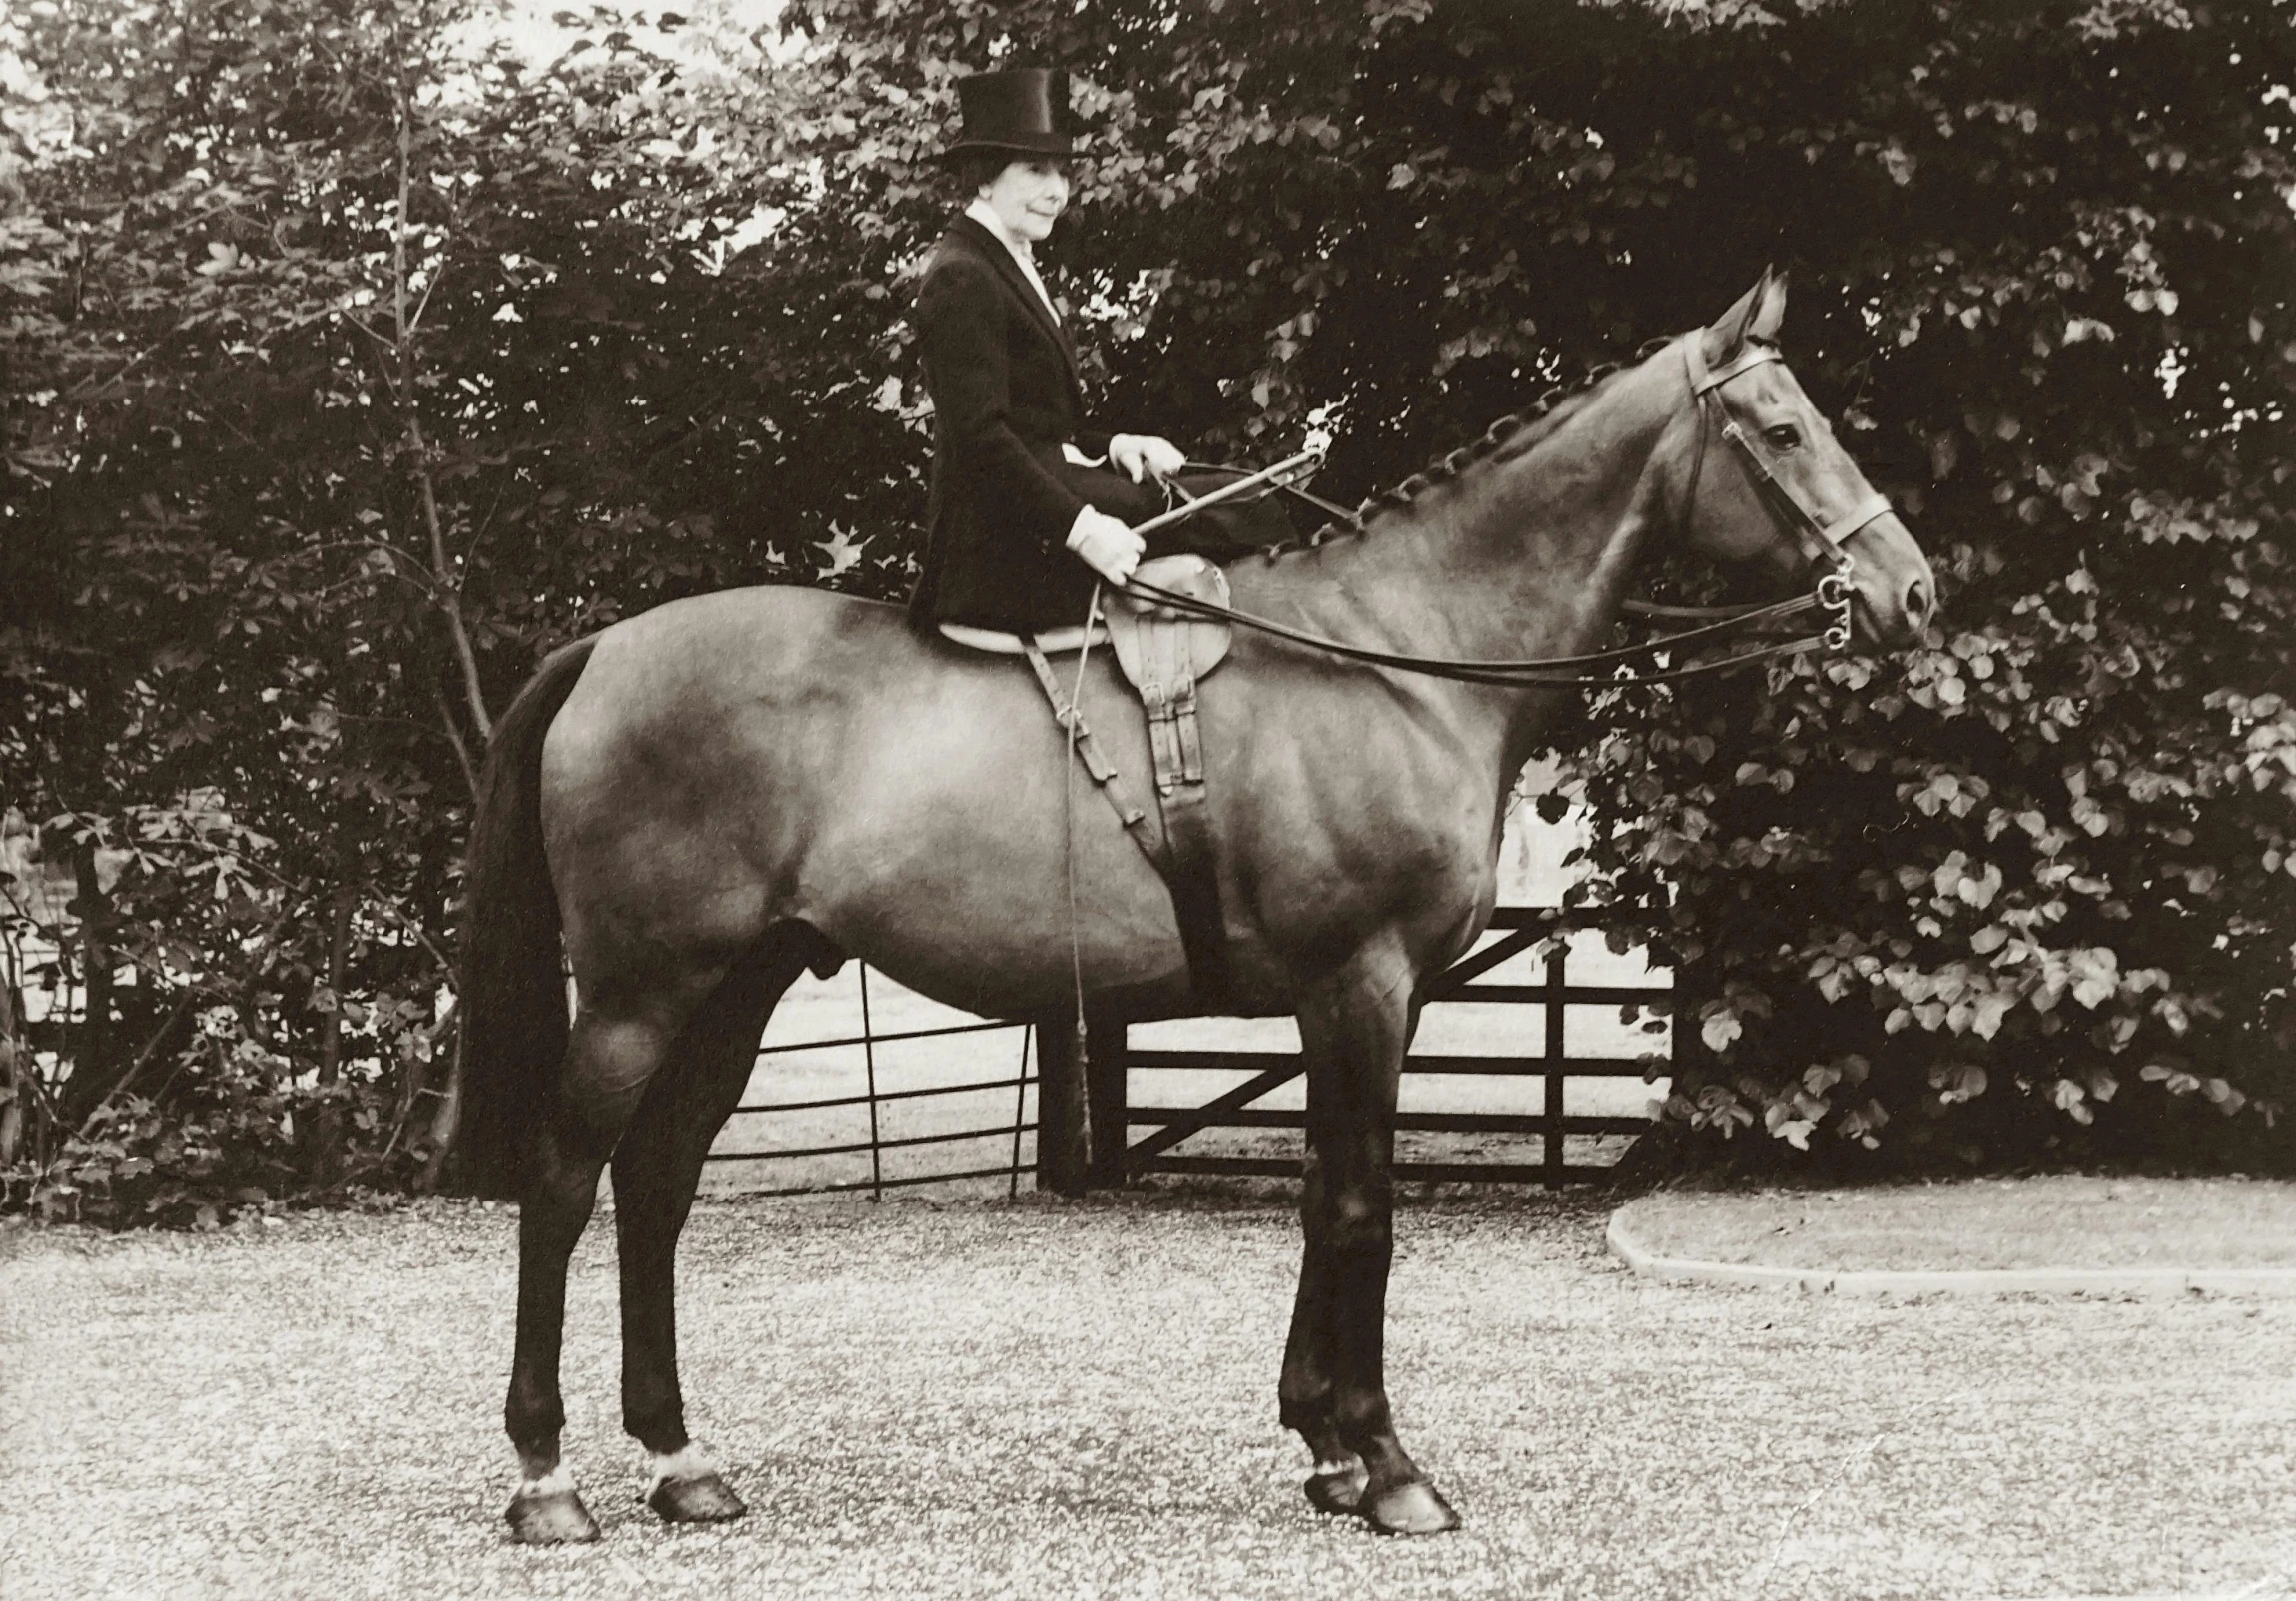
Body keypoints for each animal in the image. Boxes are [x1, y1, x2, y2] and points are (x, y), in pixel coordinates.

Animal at [447, 272, 1937, 1534]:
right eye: (1780, 428)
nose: (1910, 592)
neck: (1394, 654)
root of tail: (601, 649)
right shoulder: (1362, 983)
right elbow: (1361, 1207)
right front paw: (1387, 1463)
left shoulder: (1352, 1000)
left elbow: (1323, 1195)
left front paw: (1324, 1445)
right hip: (641, 992)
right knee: (566, 1183)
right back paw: (546, 1476)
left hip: (741, 983)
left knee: (655, 1182)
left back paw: (681, 1459)